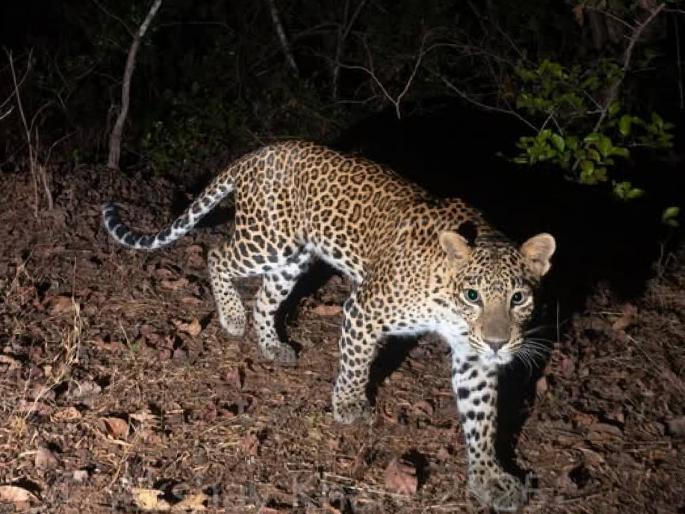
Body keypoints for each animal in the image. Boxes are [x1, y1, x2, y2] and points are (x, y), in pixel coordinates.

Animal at [103, 140, 556, 511]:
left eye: (518, 298)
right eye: (473, 295)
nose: (498, 343)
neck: (447, 297)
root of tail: (263, 151)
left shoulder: (474, 357)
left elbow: (482, 418)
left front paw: (490, 478)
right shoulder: (364, 308)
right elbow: (356, 362)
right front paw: (349, 404)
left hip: (292, 259)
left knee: (265, 300)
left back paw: (272, 346)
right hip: (267, 241)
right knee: (217, 254)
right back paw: (231, 316)